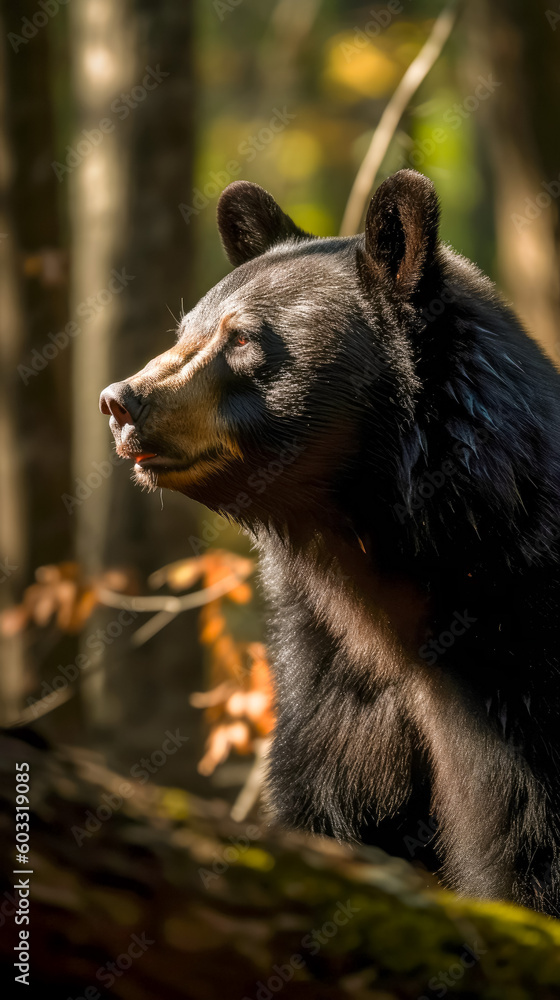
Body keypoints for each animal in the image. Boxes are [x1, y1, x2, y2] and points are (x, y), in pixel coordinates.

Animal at [100, 169, 560, 915]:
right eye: (185, 329)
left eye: (241, 337)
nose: (121, 400)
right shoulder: (332, 678)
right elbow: (329, 804)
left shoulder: (518, 679)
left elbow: (524, 848)